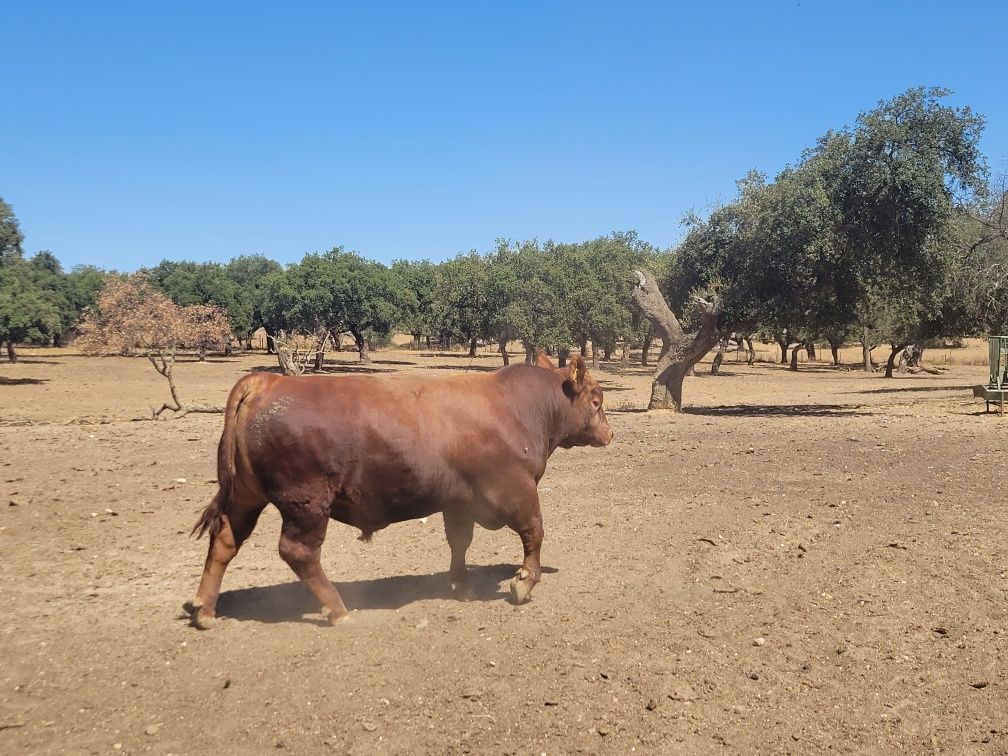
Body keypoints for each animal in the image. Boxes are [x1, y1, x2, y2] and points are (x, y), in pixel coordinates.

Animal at [184, 354, 608, 628]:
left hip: (245, 496)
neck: (519, 408)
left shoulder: (459, 502)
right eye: (597, 399)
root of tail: (267, 381)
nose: (609, 432)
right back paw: (337, 609)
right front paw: (524, 582)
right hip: (306, 503)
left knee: (225, 540)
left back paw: (204, 609)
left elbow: (459, 542)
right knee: (298, 551)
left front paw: (462, 587)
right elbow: (534, 532)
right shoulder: (515, 490)